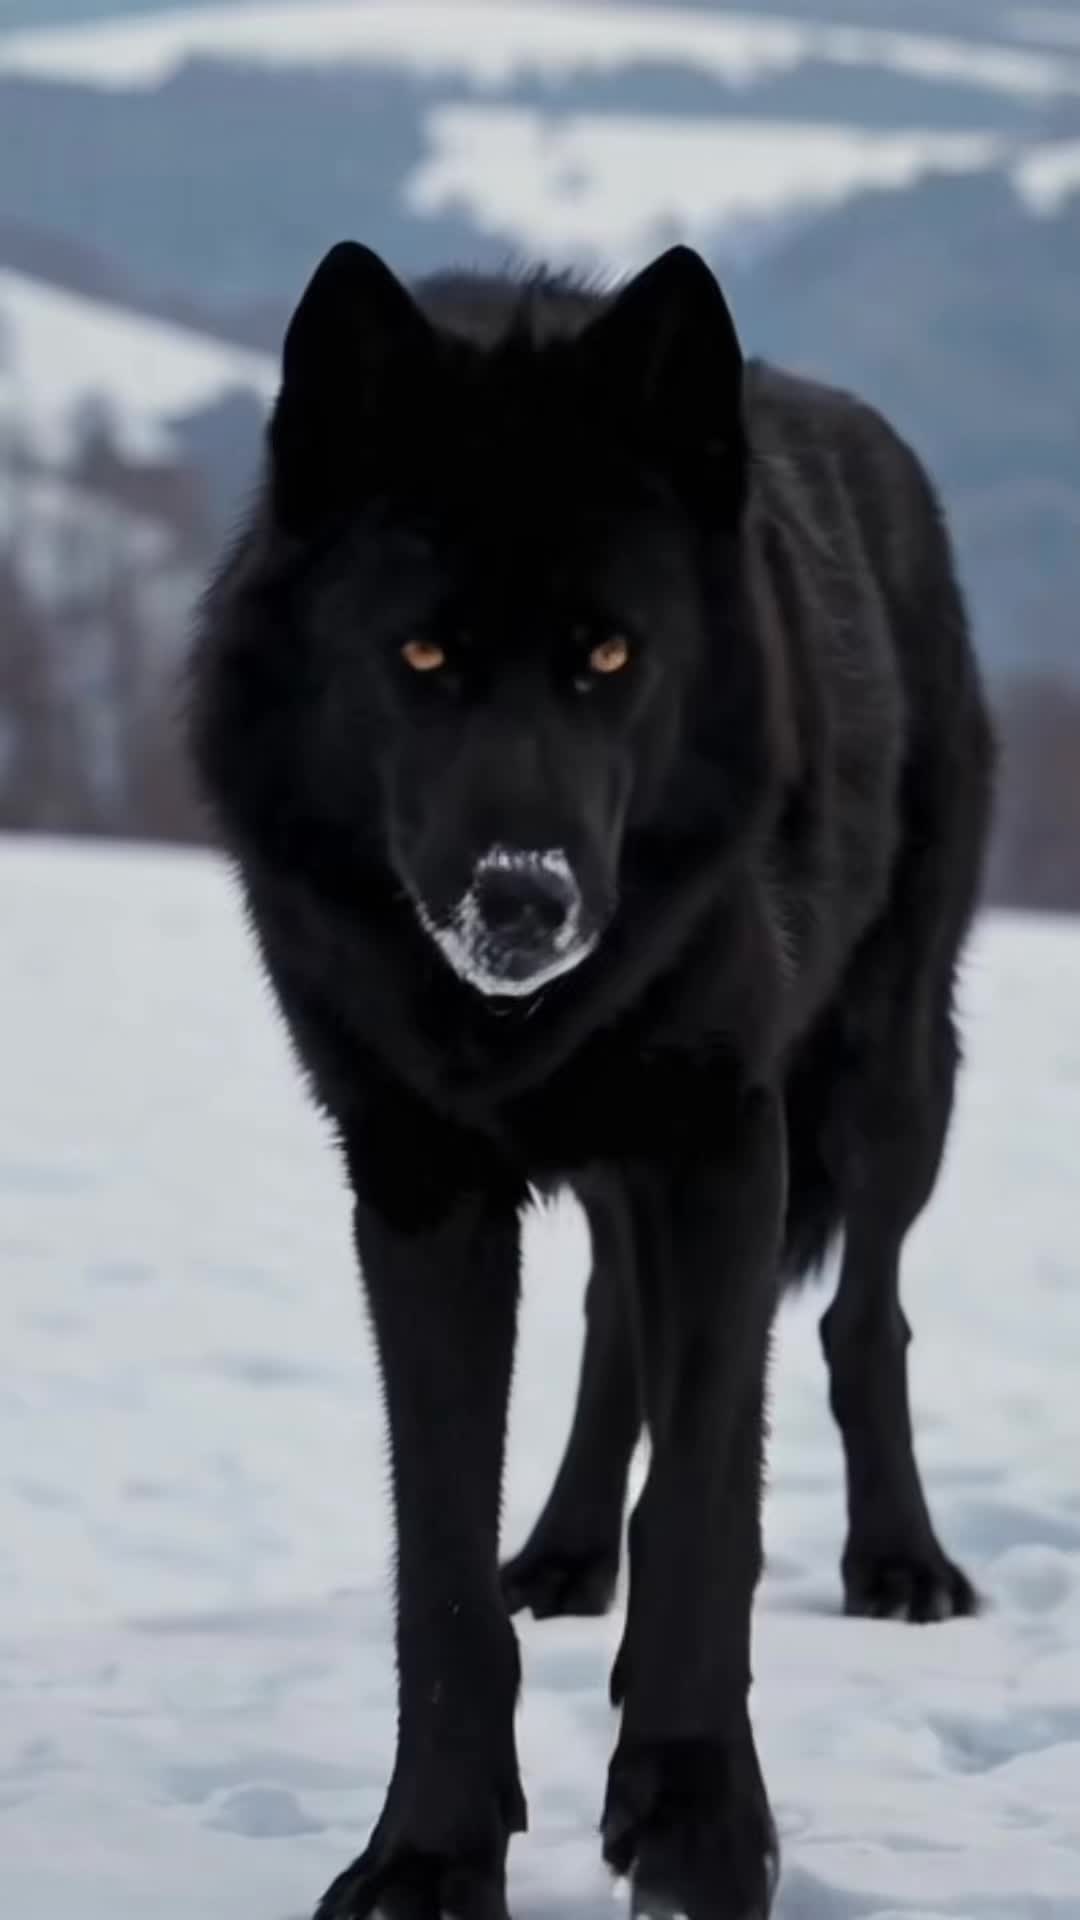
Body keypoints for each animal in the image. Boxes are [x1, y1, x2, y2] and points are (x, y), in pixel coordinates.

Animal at [188, 240, 994, 1920]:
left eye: (610, 656)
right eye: (422, 655)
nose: (525, 901)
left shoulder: (719, 1147)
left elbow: (705, 1512)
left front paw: (695, 1828)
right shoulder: (418, 1184)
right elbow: (437, 1560)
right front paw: (430, 1850)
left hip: (888, 1086)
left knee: (861, 1318)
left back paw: (899, 1568)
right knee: (615, 1320)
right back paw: (562, 1557)